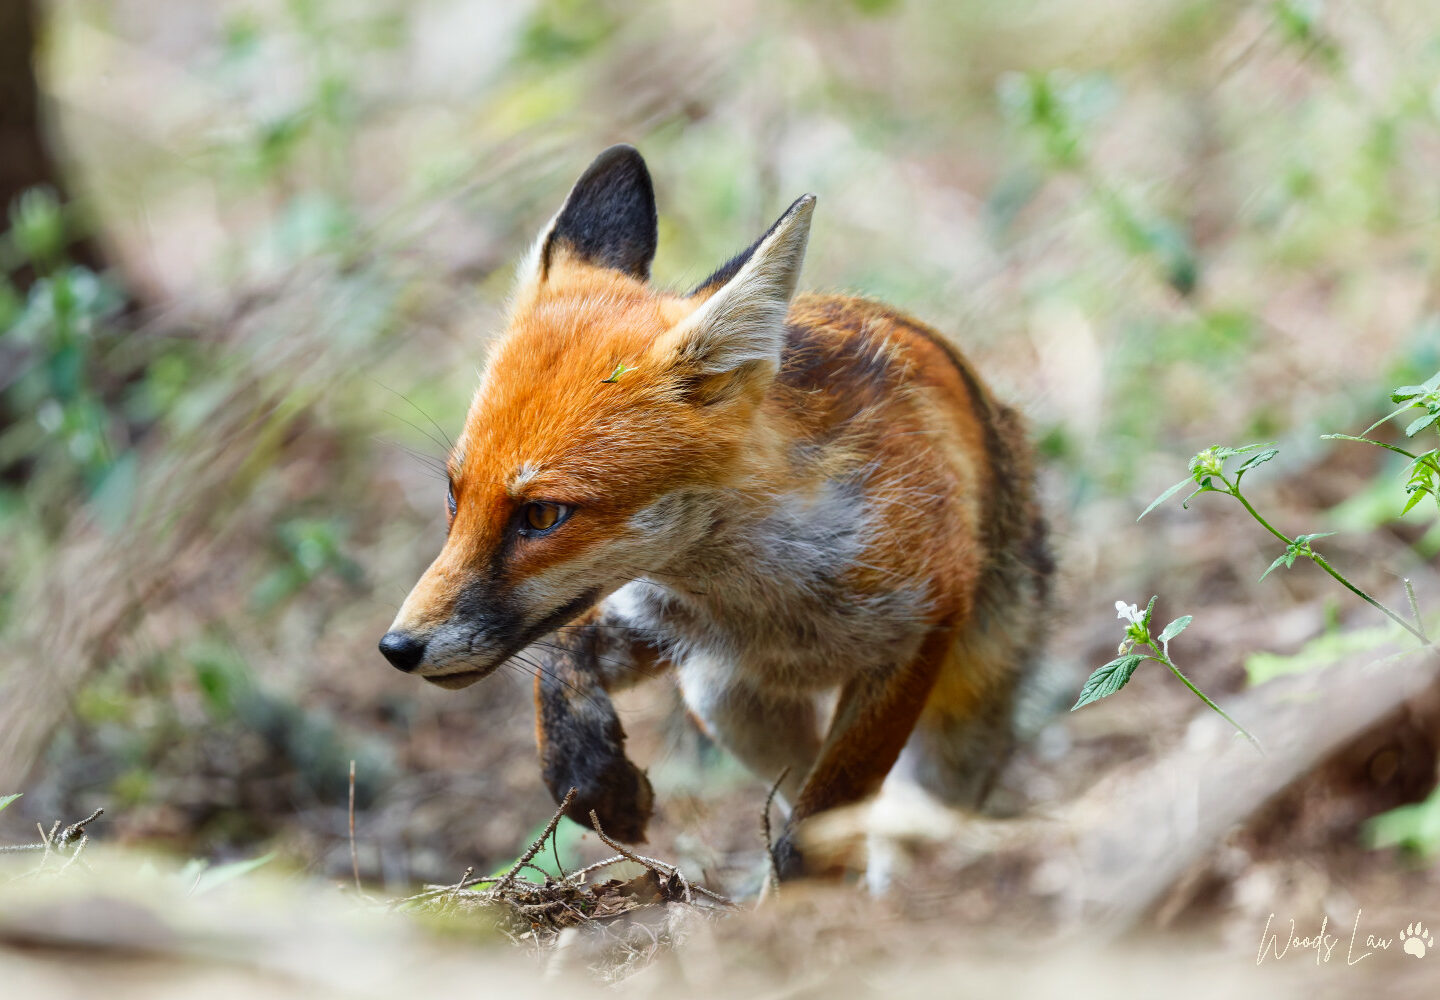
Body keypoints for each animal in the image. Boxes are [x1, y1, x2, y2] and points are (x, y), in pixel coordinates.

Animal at [379, 145, 1053, 878]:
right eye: (454, 495)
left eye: (542, 515)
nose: (397, 648)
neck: (759, 596)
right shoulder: (662, 624)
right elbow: (557, 673)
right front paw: (597, 786)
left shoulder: (921, 627)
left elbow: (820, 822)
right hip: (726, 698)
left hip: (955, 731)